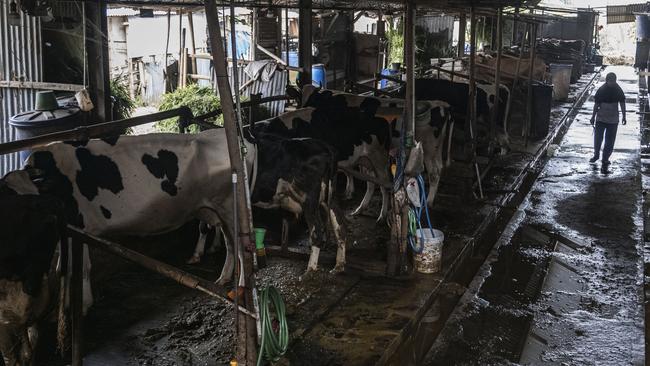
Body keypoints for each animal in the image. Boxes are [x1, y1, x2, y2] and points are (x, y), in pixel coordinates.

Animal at [302, 84, 454, 207]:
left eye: (312, 99)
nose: (303, 107)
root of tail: (442, 105)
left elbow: (347, 169)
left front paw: (347, 191)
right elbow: (349, 169)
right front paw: (349, 190)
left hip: (429, 149)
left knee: (434, 172)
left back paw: (428, 201)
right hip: (436, 150)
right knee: (439, 168)